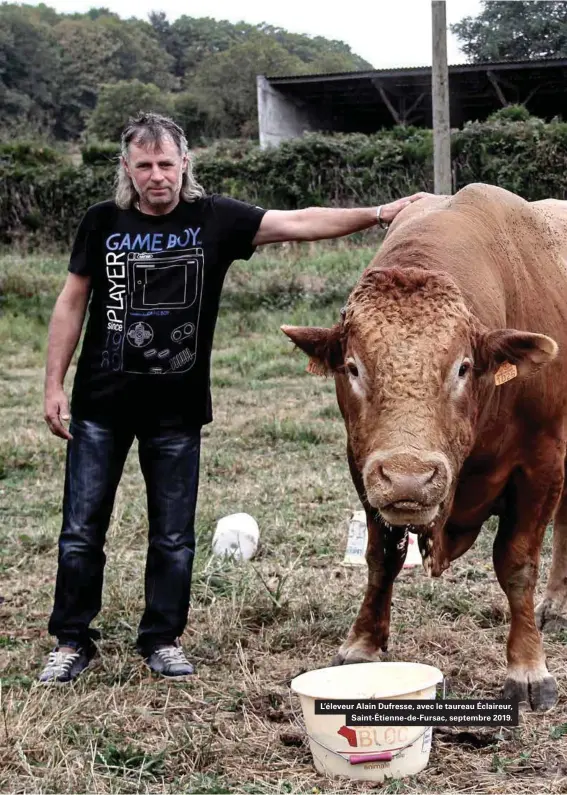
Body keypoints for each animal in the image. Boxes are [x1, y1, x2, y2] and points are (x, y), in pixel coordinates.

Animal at [282, 183, 567, 712]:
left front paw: (527, 666)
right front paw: (363, 643)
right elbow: (382, 558)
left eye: (463, 367)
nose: (410, 476)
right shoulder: (363, 466)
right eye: (352, 367)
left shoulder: (540, 463)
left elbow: (517, 564)